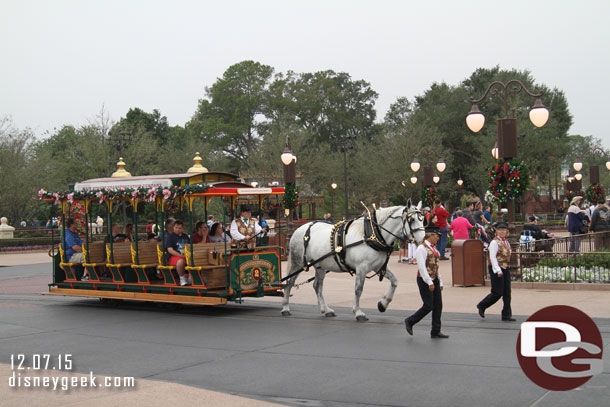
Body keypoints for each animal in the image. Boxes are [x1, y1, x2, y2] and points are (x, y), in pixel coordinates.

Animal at [282, 201, 426, 322]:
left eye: (422, 219)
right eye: (412, 219)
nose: (423, 240)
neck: (371, 234)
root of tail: (299, 229)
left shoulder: (379, 267)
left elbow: (395, 282)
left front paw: (383, 304)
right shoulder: (361, 268)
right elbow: (358, 289)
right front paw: (358, 312)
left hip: (320, 266)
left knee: (317, 286)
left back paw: (326, 309)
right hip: (297, 263)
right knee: (289, 283)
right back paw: (285, 307)